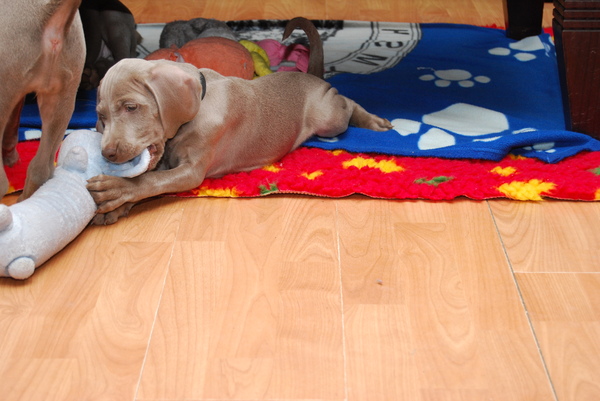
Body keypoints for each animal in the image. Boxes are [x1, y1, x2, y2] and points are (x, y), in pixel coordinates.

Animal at [86, 18, 392, 225]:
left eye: (130, 107)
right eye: (101, 116)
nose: (107, 153)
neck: (200, 104)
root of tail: (311, 75)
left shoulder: (192, 171)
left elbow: (151, 181)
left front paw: (116, 189)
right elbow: (151, 180)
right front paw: (116, 207)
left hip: (329, 118)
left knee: (346, 102)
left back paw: (375, 122)